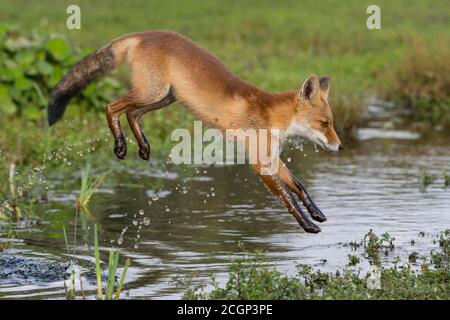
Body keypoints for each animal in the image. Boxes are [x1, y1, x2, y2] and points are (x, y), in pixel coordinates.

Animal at [48, 30, 342, 234]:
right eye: (324, 124)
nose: (340, 147)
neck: (270, 115)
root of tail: (144, 33)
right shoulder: (260, 161)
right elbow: (288, 197)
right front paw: (308, 225)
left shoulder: (271, 156)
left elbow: (299, 186)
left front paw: (316, 213)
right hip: (152, 93)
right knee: (111, 106)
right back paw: (120, 145)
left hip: (165, 97)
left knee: (132, 113)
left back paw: (142, 146)